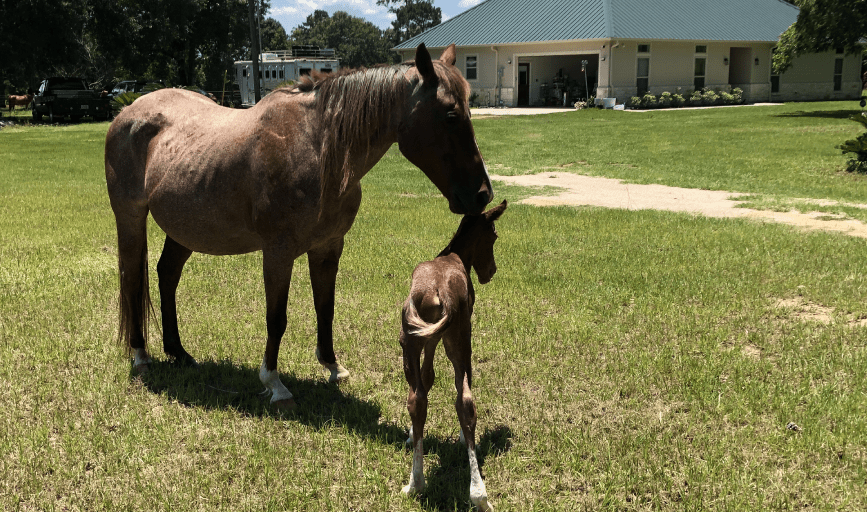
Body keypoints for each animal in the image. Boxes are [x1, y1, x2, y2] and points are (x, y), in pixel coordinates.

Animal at [104, 43, 493, 409]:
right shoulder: (278, 252)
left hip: (185, 228)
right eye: (450, 115)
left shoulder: (328, 247)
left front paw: (333, 366)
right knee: (132, 279)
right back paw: (141, 356)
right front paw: (275, 384)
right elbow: (276, 317)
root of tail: (127, 112)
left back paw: (179, 352)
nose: (482, 194)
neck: (319, 150)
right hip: (131, 219)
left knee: (167, 274)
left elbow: (326, 307)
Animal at [399, 200, 507, 512]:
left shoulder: (429, 339)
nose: (491, 271)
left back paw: (415, 484)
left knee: (417, 398)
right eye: (493, 236)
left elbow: (427, 379)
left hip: (411, 340)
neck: (454, 256)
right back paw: (479, 494)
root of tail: (439, 291)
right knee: (465, 399)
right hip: (460, 337)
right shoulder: (445, 338)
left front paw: (412, 435)